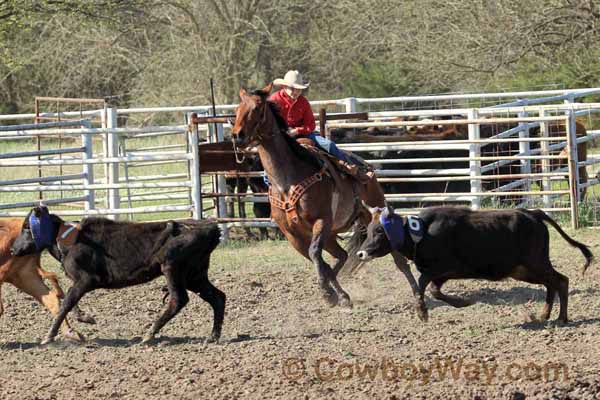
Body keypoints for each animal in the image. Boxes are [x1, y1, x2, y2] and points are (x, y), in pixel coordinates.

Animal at [231, 83, 432, 318]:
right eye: (237, 109)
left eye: (257, 107)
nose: (237, 136)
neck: (287, 182)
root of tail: (365, 165)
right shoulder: (292, 234)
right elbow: (317, 259)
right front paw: (336, 295)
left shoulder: (322, 220)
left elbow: (315, 254)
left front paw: (327, 294)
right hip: (331, 234)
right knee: (342, 255)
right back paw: (342, 292)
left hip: (372, 214)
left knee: (398, 260)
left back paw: (416, 295)